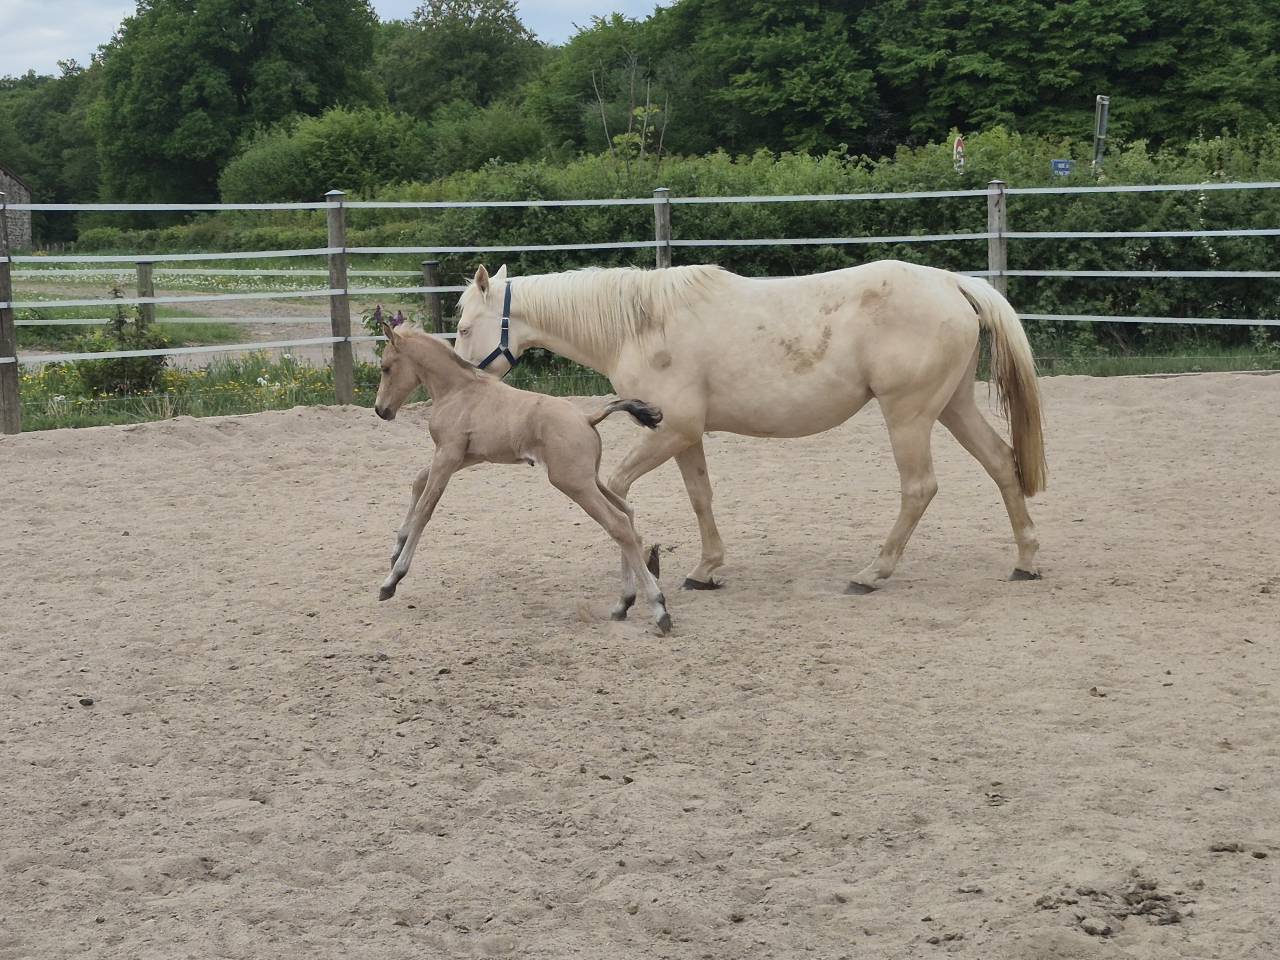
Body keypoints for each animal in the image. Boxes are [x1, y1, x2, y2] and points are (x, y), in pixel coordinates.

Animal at [372, 318, 673, 635]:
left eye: (386, 368)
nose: (381, 410)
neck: (458, 391)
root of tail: (587, 418)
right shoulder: (463, 457)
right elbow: (418, 481)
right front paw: (396, 549)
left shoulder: (448, 455)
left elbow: (424, 511)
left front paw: (392, 579)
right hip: (590, 479)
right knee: (628, 514)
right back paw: (624, 603)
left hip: (574, 484)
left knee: (619, 525)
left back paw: (658, 608)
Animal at [453, 260, 1047, 593]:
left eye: (461, 326)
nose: (461, 378)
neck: (640, 325)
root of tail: (951, 284)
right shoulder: (685, 435)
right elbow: (700, 496)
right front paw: (704, 569)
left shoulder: (669, 431)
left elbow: (615, 488)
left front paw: (644, 560)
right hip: (953, 407)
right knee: (1002, 463)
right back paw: (1025, 561)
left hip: (909, 416)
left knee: (919, 488)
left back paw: (872, 573)